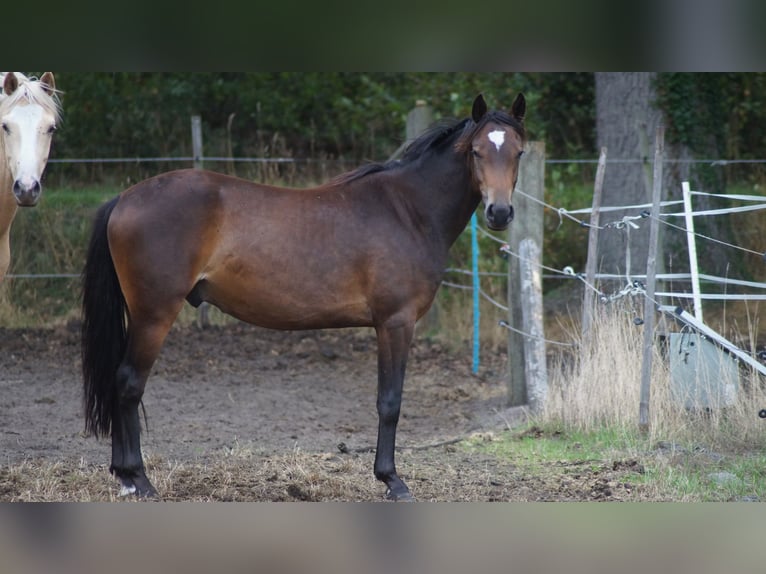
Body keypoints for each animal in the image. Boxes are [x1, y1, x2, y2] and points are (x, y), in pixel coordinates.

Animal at [81, 92, 526, 500]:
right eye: (476, 151)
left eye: (519, 152)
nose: (499, 213)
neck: (408, 211)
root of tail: (124, 198)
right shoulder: (395, 323)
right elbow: (390, 402)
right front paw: (392, 480)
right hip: (154, 315)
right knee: (128, 383)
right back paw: (139, 480)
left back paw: (124, 477)